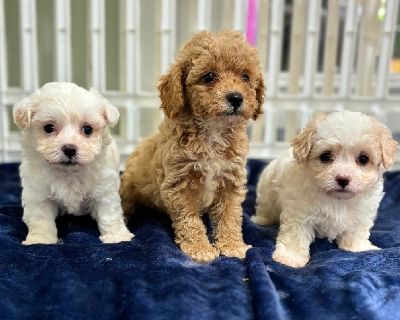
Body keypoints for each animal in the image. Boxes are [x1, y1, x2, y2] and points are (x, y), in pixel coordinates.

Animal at [13, 82, 133, 245]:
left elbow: (109, 215)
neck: (69, 173)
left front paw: (117, 237)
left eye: (87, 129)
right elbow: (41, 219)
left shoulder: (104, 190)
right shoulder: (38, 194)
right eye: (48, 128)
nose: (69, 149)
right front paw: (40, 240)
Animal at [120, 31, 268, 262]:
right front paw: (200, 248)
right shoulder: (180, 183)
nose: (236, 97)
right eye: (209, 77)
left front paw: (232, 245)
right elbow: (190, 220)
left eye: (245, 77)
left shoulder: (230, 180)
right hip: (129, 185)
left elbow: (229, 217)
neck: (212, 131)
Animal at [252, 111, 398, 268]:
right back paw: (261, 219)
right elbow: (296, 235)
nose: (343, 179)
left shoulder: (361, 214)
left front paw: (358, 248)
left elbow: (357, 231)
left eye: (363, 159)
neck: (337, 199)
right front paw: (290, 257)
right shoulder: (299, 213)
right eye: (326, 156)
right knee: (266, 207)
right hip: (267, 192)